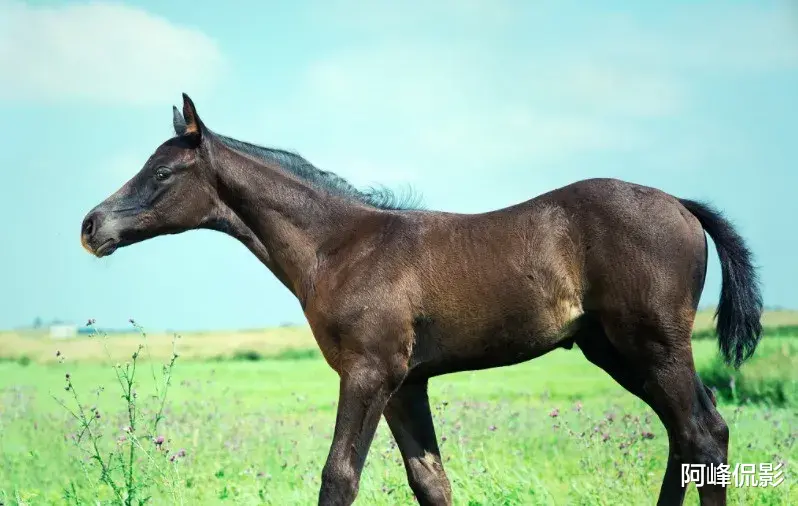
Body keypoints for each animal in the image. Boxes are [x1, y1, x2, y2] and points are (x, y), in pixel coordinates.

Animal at [79, 95, 764, 506]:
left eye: (161, 173)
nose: (91, 226)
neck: (341, 246)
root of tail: (682, 205)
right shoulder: (406, 383)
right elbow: (429, 479)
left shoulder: (368, 373)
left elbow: (339, 475)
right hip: (617, 352)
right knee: (685, 434)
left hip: (655, 346)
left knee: (703, 434)